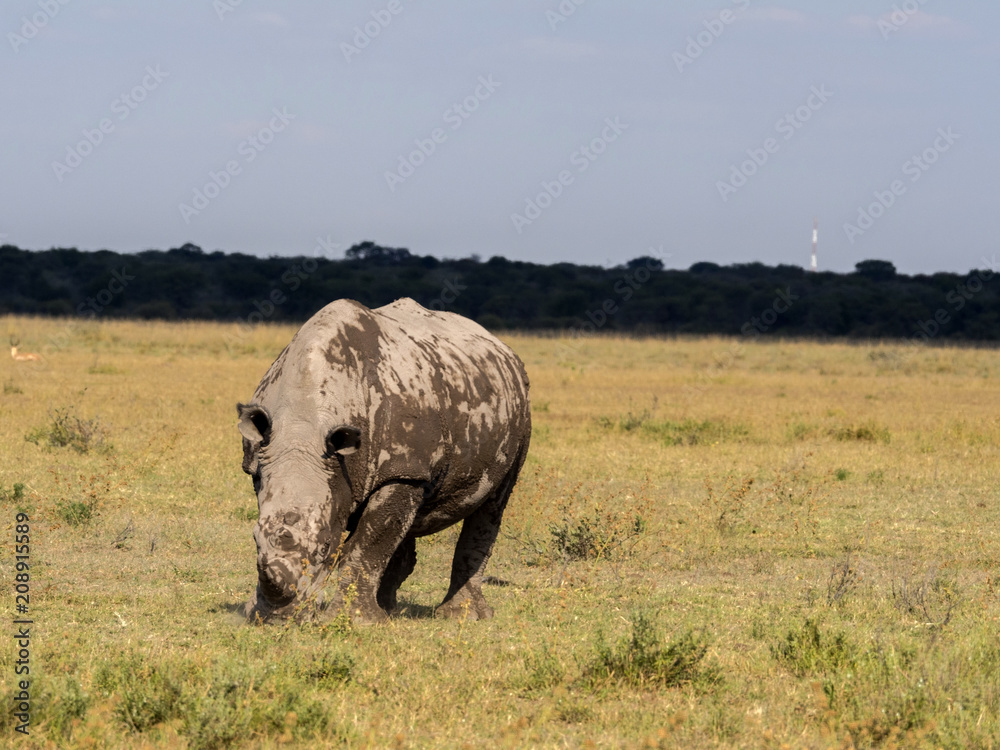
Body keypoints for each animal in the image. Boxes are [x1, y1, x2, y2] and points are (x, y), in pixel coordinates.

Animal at [237, 298, 531, 624]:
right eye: (252, 538)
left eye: (326, 546)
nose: (278, 618)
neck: (304, 431)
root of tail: (502, 347)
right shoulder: (262, 463)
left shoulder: (402, 470)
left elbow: (368, 544)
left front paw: (357, 620)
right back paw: (390, 610)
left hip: (520, 414)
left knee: (493, 503)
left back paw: (463, 616)